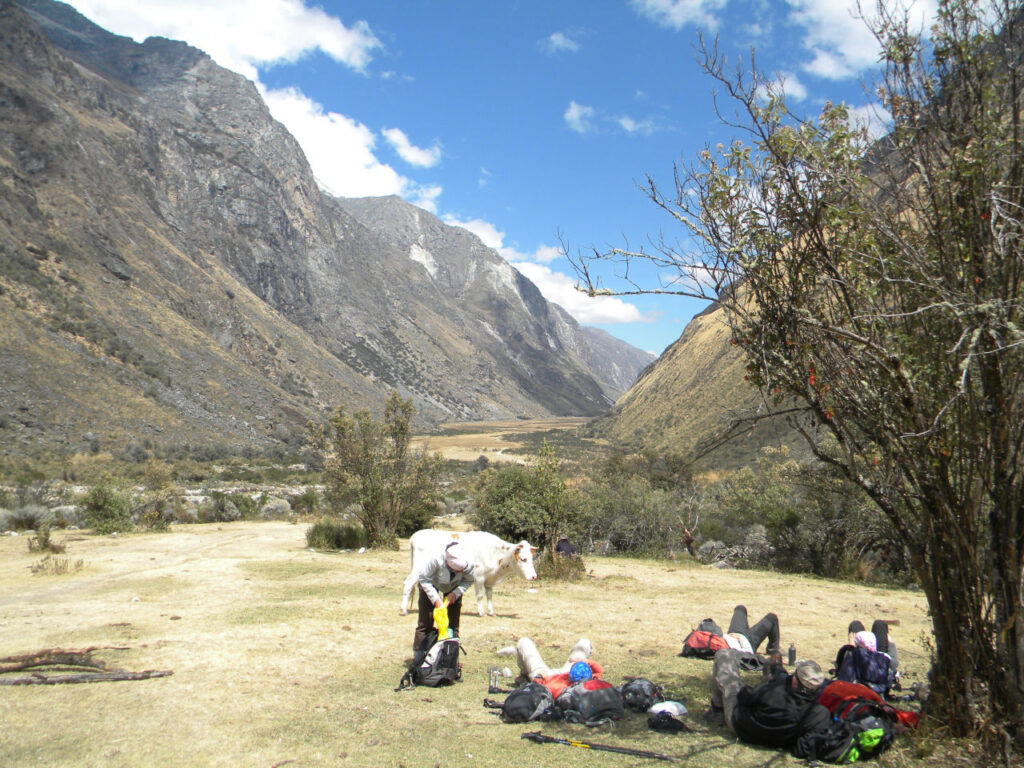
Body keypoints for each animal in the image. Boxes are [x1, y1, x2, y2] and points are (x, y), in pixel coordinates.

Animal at [397, 528, 540, 618]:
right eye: (523, 559)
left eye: (531, 558)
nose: (534, 576)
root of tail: (416, 536)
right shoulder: (479, 577)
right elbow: (480, 595)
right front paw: (481, 612)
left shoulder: (489, 580)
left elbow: (489, 596)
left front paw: (491, 612)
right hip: (418, 570)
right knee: (408, 584)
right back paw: (403, 610)